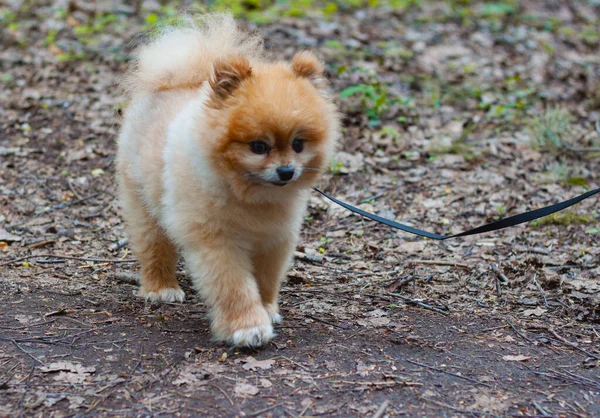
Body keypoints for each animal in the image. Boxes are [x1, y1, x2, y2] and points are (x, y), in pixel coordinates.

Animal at [116, 13, 340, 346]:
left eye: (298, 144)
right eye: (258, 147)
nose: (286, 171)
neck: (248, 194)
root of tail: (175, 80)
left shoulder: (274, 239)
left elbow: (265, 280)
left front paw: (267, 309)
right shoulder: (217, 241)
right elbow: (234, 286)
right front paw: (247, 327)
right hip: (144, 205)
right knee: (154, 247)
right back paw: (161, 288)